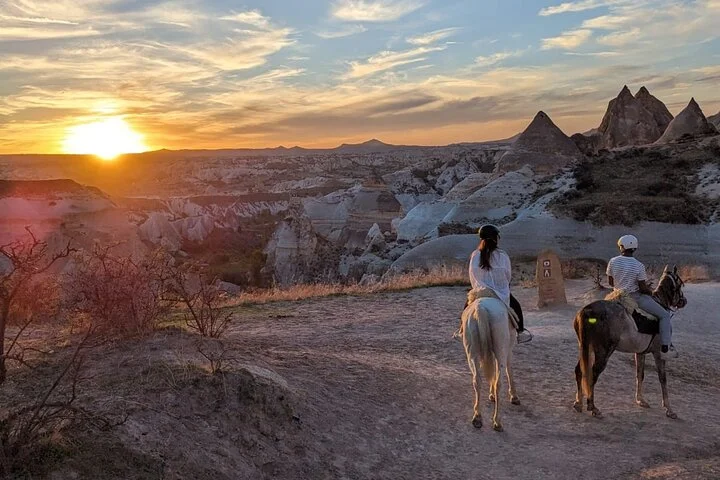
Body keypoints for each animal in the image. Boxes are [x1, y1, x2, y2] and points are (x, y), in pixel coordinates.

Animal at [462, 289, 520, 431]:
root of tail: (481, 309)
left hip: (472, 353)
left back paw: (477, 417)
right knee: (499, 383)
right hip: (501, 349)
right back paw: (497, 421)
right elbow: (509, 369)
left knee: (477, 380)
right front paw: (513, 395)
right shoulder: (508, 349)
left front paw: (491, 394)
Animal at [573, 265, 687, 419]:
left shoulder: (640, 353)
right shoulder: (659, 354)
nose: (684, 301)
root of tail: (587, 311)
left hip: (585, 347)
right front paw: (669, 409)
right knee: (593, 373)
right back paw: (593, 407)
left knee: (580, 371)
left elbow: (640, 374)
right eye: (679, 284)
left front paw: (641, 400)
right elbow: (662, 379)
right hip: (603, 351)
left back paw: (578, 403)